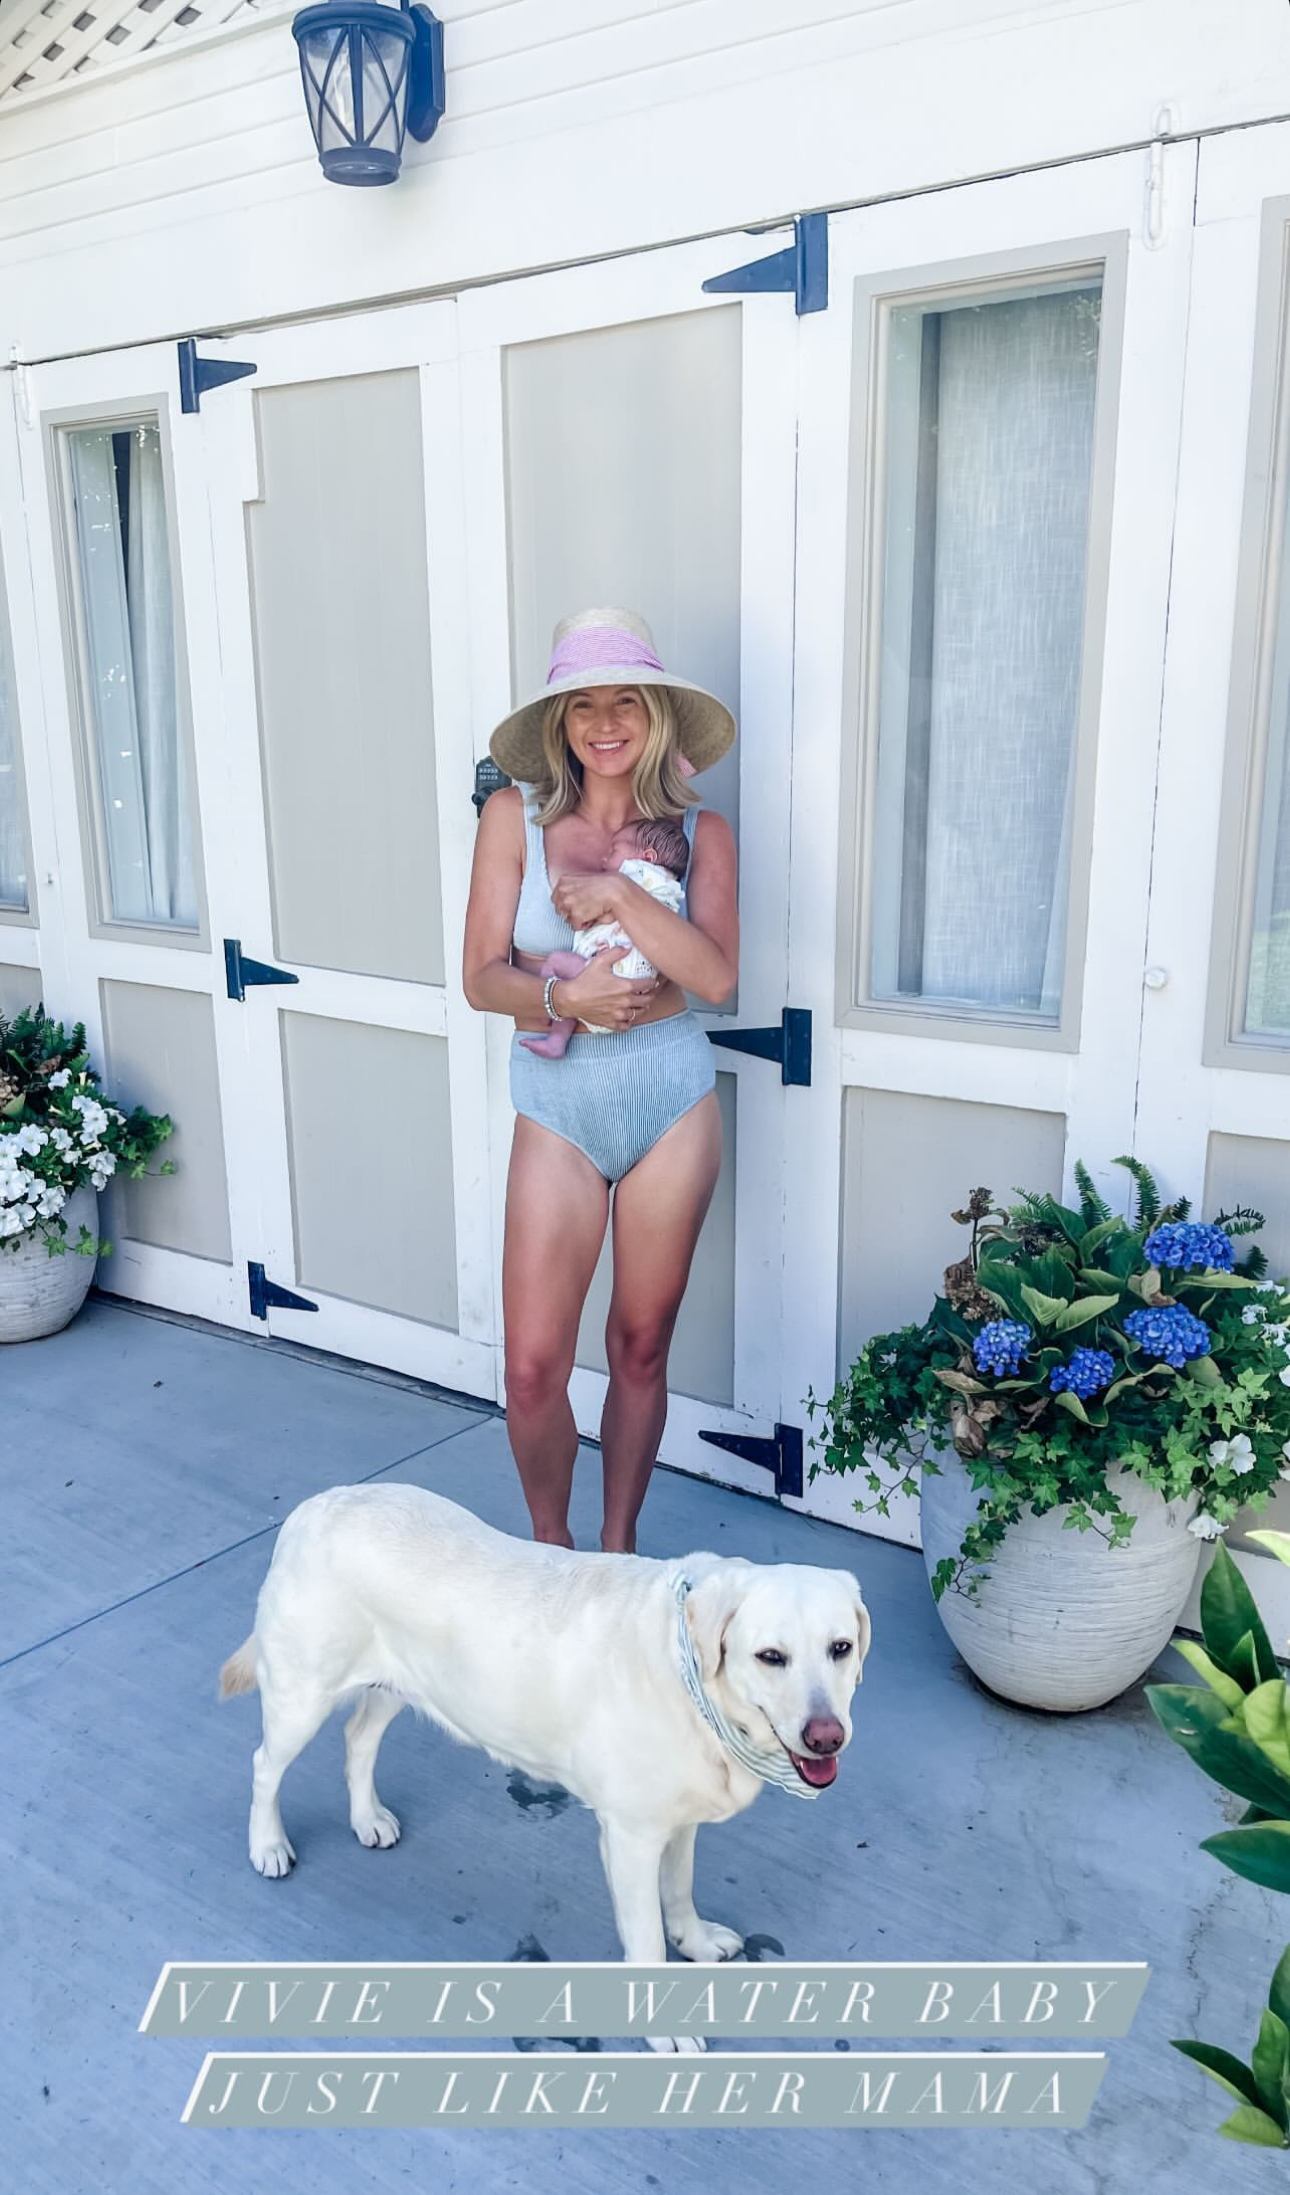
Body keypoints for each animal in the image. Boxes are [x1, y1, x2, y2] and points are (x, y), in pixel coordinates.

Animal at [221, 1483, 873, 2045]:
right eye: (770, 1657)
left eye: (840, 1649)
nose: (827, 1738)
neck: (689, 1679)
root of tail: (315, 1504)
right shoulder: (631, 1838)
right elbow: (645, 1938)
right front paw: (663, 2027)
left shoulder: (679, 1819)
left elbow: (681, 1889)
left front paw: (695, 1940)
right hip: (301, 1697)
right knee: (263, 1766)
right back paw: (267, 1845)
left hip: (399, 1685)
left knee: (359, 1738)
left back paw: (367, 1819)